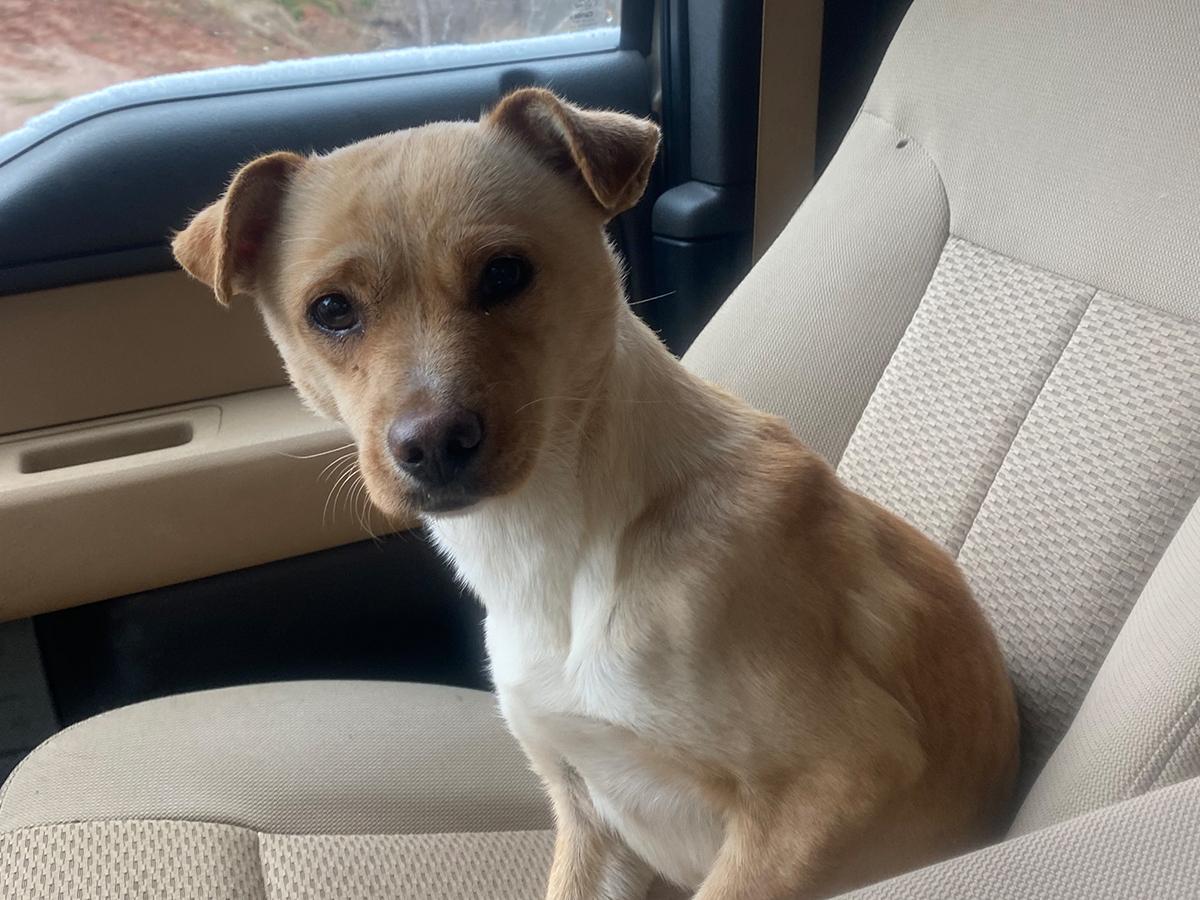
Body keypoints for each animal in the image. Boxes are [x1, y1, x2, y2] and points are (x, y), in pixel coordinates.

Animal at [172, 88, 1019, 899]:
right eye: (331, 310)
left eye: (505, 273)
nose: (433, 444)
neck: (557, 545)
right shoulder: (588, 811)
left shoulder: (834, 782)